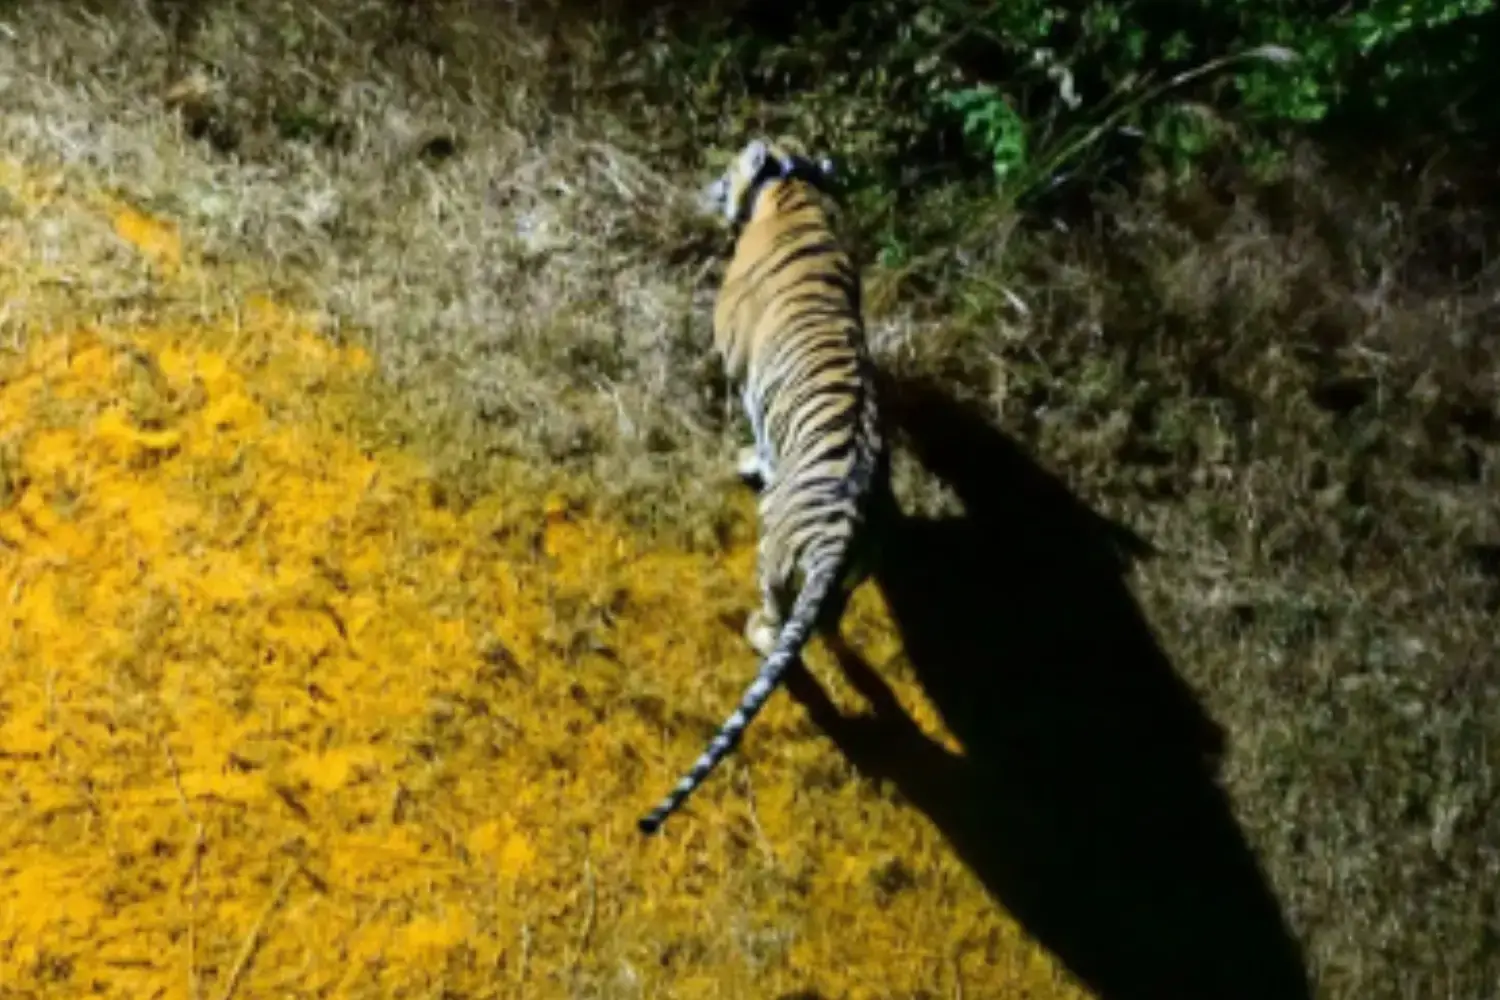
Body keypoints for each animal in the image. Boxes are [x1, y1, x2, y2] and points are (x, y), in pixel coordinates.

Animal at [637, 137, 890, 836]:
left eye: (726, 171)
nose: (709, 185)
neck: (791, 189)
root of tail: (843, 531)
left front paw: (749, 456)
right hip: (842, 582)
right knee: (822, 629)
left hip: (774, 551)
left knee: (779, 631)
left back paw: (752, 627)